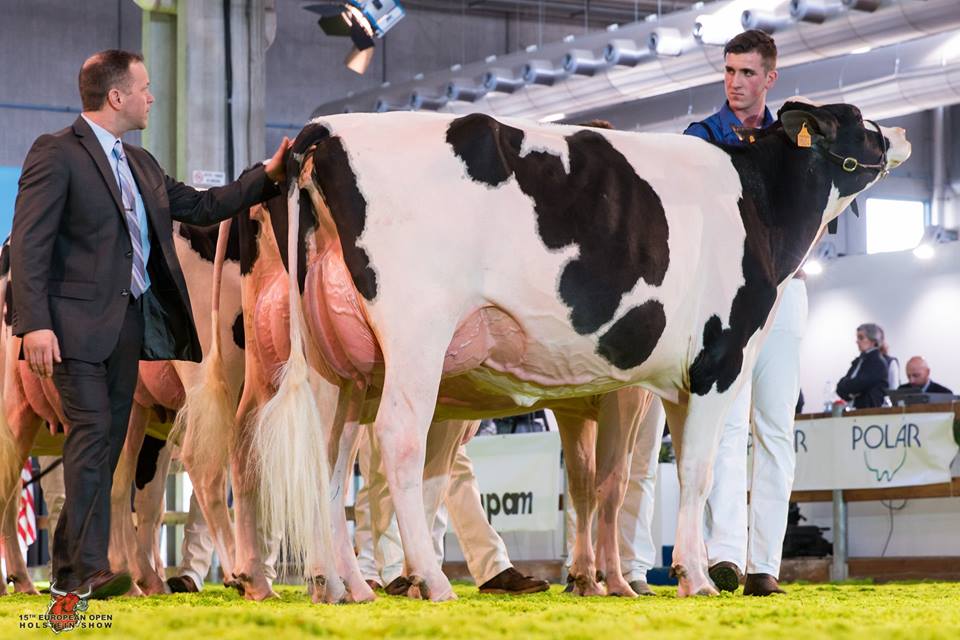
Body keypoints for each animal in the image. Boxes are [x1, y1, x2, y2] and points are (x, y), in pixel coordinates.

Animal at [249, 101, 908, 601]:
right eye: (860, 122)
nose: (900, 133)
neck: (757, 200)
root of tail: (325, 130)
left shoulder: (675, 385)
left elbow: (656, 475)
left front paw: (671, 575)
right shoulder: (721, 359)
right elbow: (696, 473)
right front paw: (698, 580)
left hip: (341, 368)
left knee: (329, 460)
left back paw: (343, 588)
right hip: (415, 336)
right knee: (398, 441)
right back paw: (430, 583)